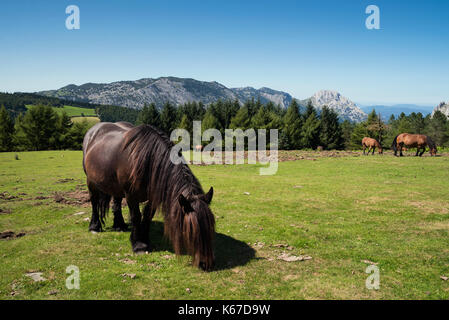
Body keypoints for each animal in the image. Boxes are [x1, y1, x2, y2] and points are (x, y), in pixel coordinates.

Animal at [82, 122, 215, 270]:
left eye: (211, 226)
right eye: (192, 230)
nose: (205, 263)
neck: (147, 160)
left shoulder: (153, 197)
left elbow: (147, 216)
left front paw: (145, 239)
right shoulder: (131, 195)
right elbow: (136, 216)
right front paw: (138, 244)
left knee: (116, 202)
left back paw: (119, 225)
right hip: (90, 181)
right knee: (94, 202)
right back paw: (94, 226)